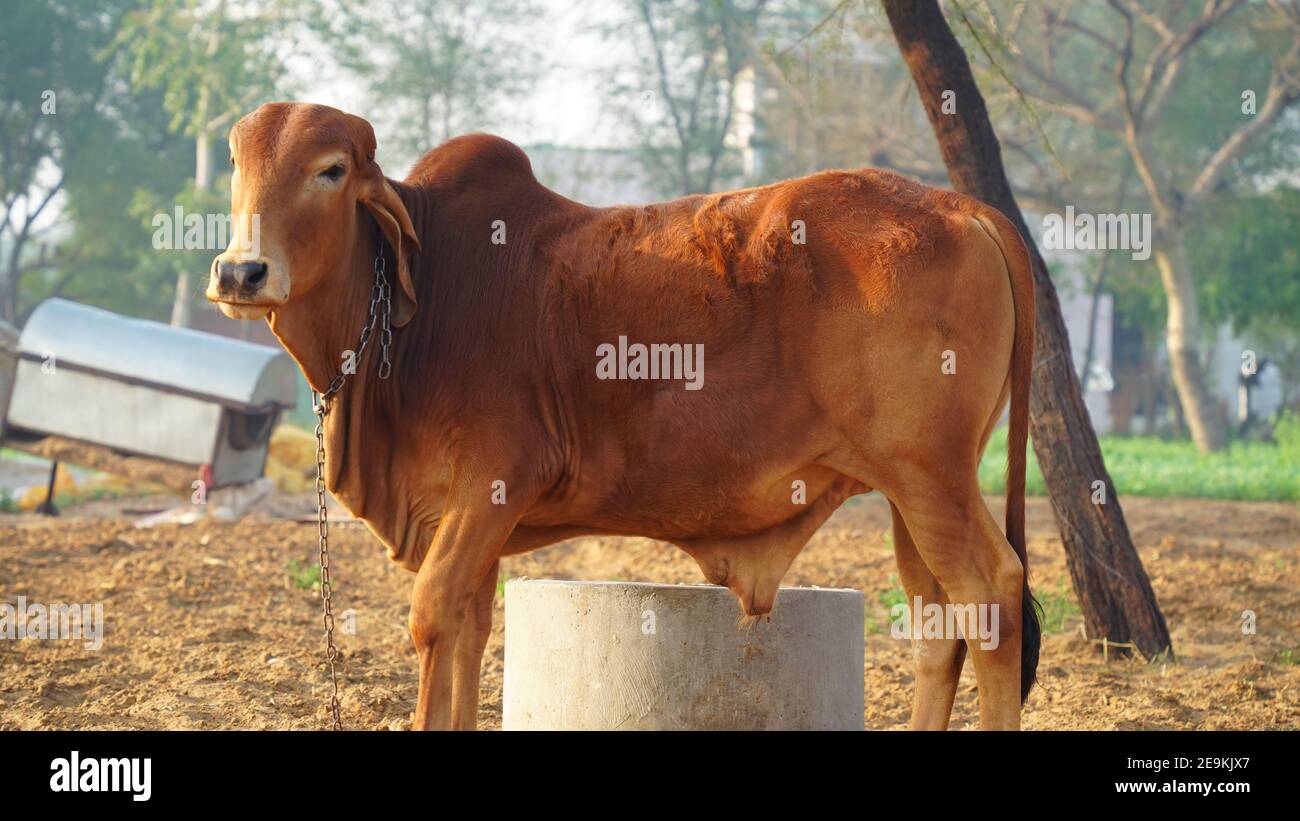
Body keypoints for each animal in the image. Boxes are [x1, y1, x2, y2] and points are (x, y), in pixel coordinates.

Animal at [205, 102, 1034, 732]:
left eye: (330, 170)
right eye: (237, 165)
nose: (242, 271)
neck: (427, 292)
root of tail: (963, 206)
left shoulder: (494, 480)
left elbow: (435, 614)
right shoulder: (471, 514)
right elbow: (470, 628)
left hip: (929, 479)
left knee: (991, 595)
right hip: (910, 489)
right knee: (938, 627)